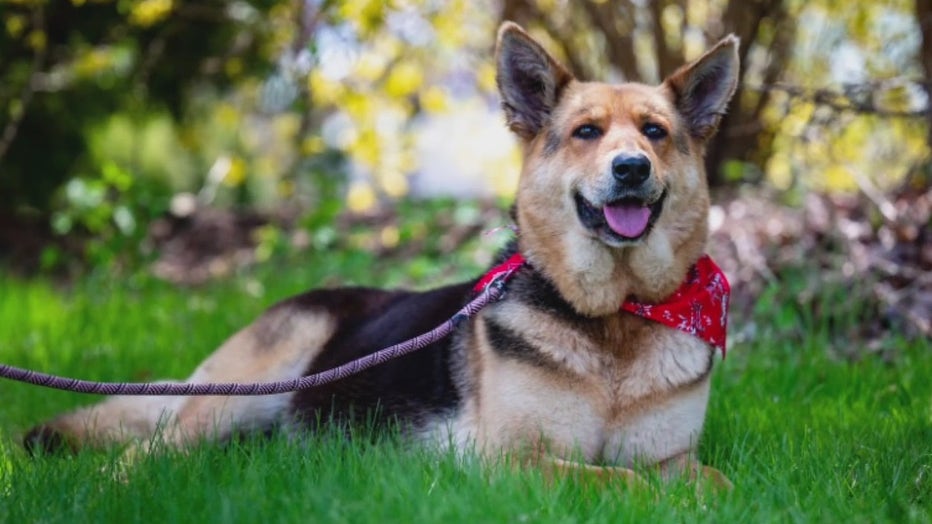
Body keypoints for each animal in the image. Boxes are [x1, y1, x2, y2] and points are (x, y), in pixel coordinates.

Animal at [23, 21, 744, 488]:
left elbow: (713, 483)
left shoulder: (674, 457)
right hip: (239, 392)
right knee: (151, 448)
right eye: (587, 132)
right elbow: (619, 482)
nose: (631, 168)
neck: (617, 315)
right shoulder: (510, 459)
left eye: (655, 133)